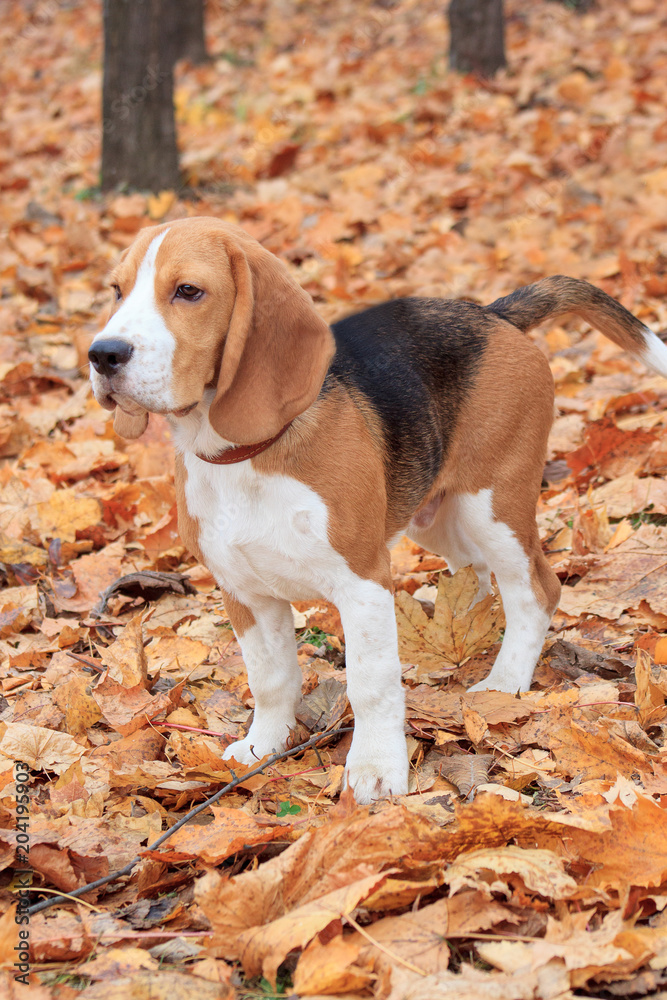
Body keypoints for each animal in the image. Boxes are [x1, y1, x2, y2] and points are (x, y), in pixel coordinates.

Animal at [88, 217, 667, 804]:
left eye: (188, 291)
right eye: (116, 290)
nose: (103, 354)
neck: (244, 456)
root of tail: (492, 314)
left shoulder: (363, 580)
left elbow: (371, 684)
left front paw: (375, 770)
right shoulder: (244, 592)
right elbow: (270, 679)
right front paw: (262, 747)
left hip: (492, 503)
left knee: (537, 590)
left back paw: (505, 681)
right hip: (434, 516)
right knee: (474, 574)